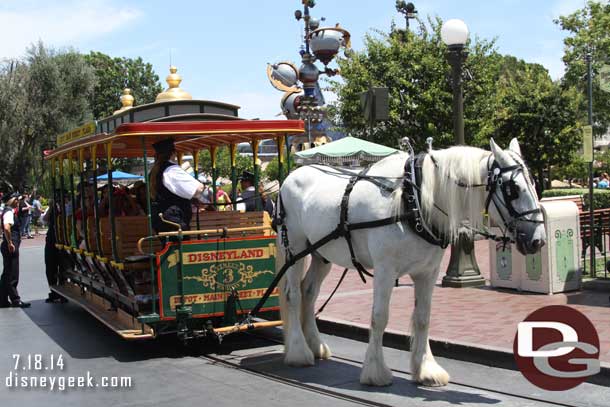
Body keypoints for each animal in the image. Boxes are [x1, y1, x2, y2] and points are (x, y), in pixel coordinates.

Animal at [276, 139, 548, 388]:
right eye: (513, 189)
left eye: (534, 184)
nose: (537, 240)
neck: (412, 202)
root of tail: (290, 177)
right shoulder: (385, 270)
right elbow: (379, 316)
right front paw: (376, 372)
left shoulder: (427, 272)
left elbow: (423, 317)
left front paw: (426, 370)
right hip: (295, 249)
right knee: (293, 294)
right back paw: (299, 352)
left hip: (321, 254)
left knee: (309, 292)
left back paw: (316, 345)